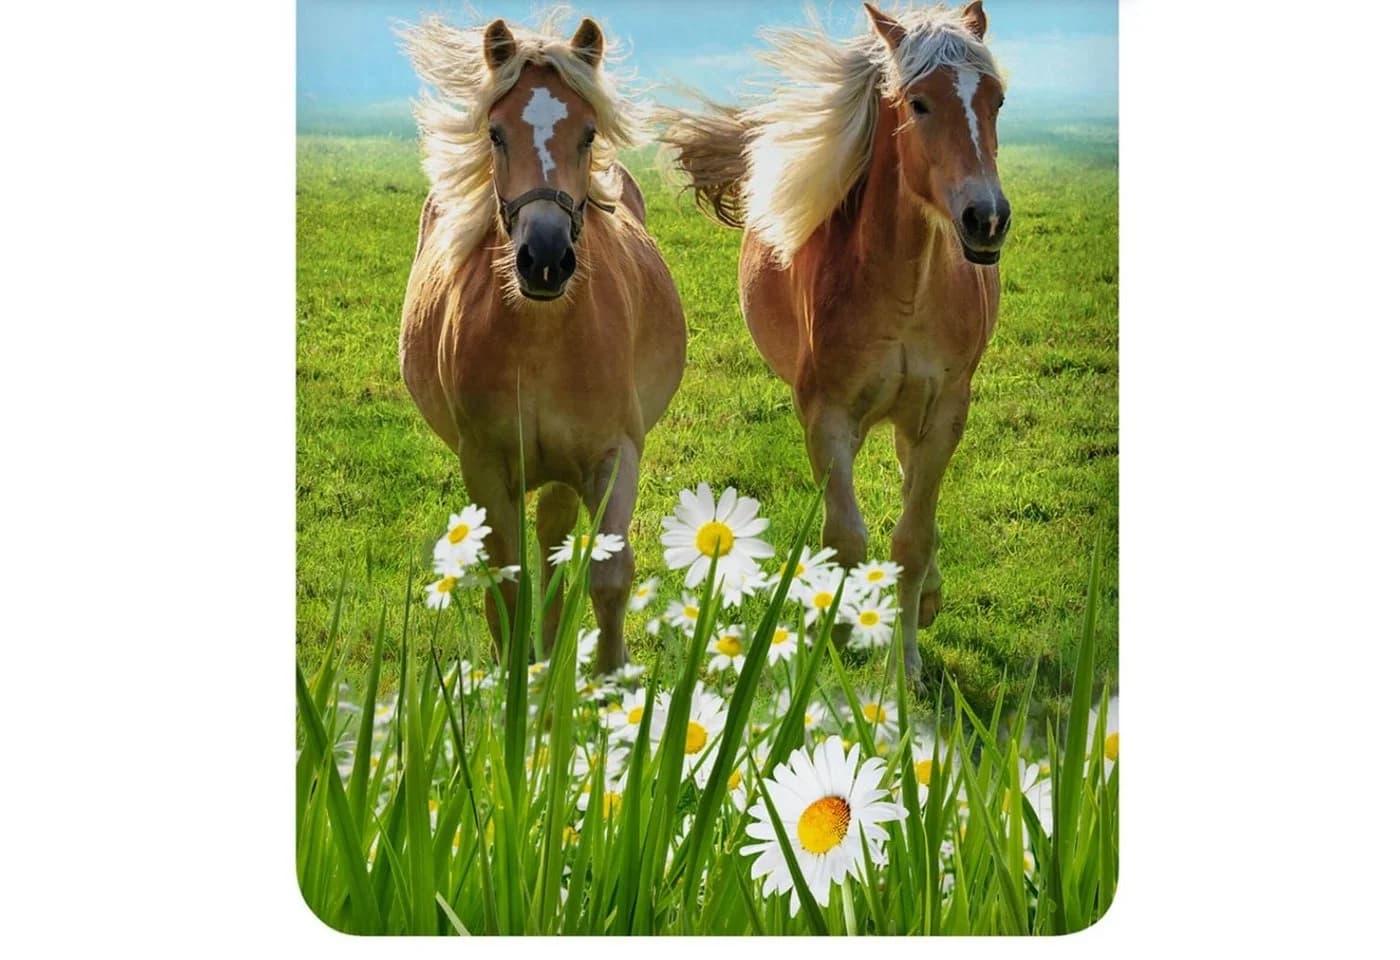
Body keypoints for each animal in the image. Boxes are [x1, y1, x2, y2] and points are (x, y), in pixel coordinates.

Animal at [400, 13, 686, 672]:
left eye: (587, 133)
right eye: (496, 133)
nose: (546, 257)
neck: (540, 338)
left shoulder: (613, 455)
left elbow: (609, 575)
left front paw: (610, 679)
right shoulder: (484, 464)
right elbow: (505, 584)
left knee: (556, 539)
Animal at [659, 2, 1010, 689]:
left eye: (996, 101)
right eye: (919, 103)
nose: (986, 219)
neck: (903, 292)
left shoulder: (944, 414)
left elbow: (912, 539)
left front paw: (907, 667)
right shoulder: (827, 417)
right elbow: (846, 538)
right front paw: (837, 641)